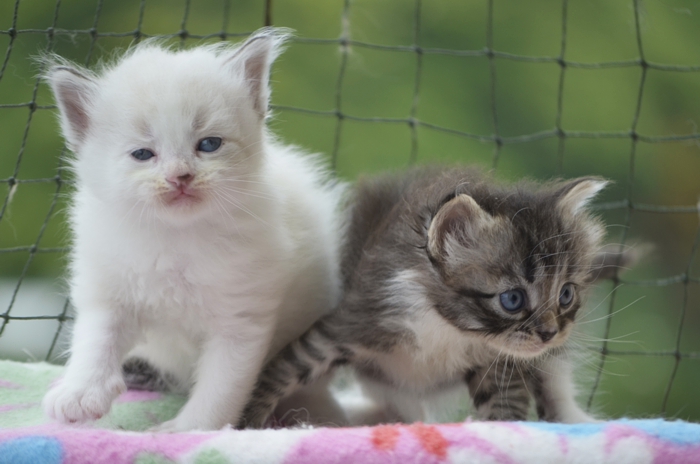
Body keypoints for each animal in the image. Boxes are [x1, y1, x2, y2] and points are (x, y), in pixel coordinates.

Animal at [41, 28, 347, 431]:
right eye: (143, 154)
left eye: (209, 144)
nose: (180, 176)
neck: (176, 238)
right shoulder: (109, 289)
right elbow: (95, 338)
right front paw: (79, 393)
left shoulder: (241, 318)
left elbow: (221, 387)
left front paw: (186, 429)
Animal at [239, 166, 635, 428]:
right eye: (512, 300)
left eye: (566, 294)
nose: (550, 333)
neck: (447, 327)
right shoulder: (354, 322)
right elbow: (280, 372)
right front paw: (246, 423)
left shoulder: (499, 364)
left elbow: (506, 408)